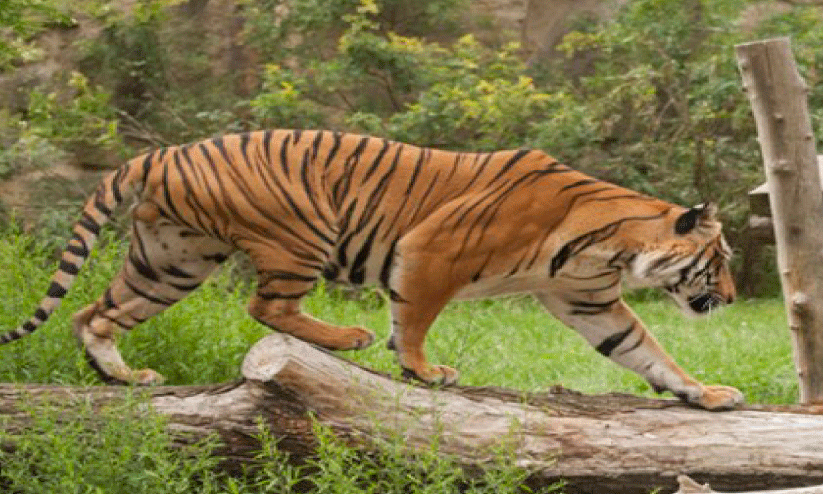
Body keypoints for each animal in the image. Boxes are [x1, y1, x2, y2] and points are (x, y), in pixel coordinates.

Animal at [1, 129, 743, 410]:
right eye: (721, 262)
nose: (734, 299)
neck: (613, 243)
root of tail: (160, 151)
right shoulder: (431, 250)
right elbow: (412, 320)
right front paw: (423, 371)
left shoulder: (587, 300)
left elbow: (645, 351)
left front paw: (705, 393)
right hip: (296, 230)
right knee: (266, 308)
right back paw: (346, 338)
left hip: (170, 262)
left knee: (92, 314)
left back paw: (122, 378)